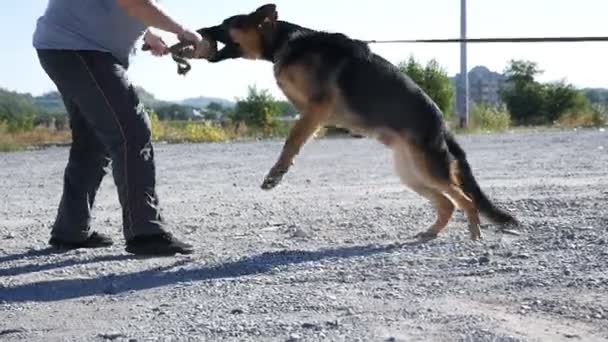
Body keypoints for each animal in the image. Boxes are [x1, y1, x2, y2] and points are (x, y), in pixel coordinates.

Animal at [183, 4, 516, 239]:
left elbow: (293, 138)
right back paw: (431, 232)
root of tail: (442, 124)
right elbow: (298, 129)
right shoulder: (310, 109)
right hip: (411, 173)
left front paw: (276, 173)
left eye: (227, 24)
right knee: (448, 203)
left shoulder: (317, 106)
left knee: (464, 198)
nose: (197, 30)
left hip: (429, 169)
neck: (284, 42)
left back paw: (474, 229)